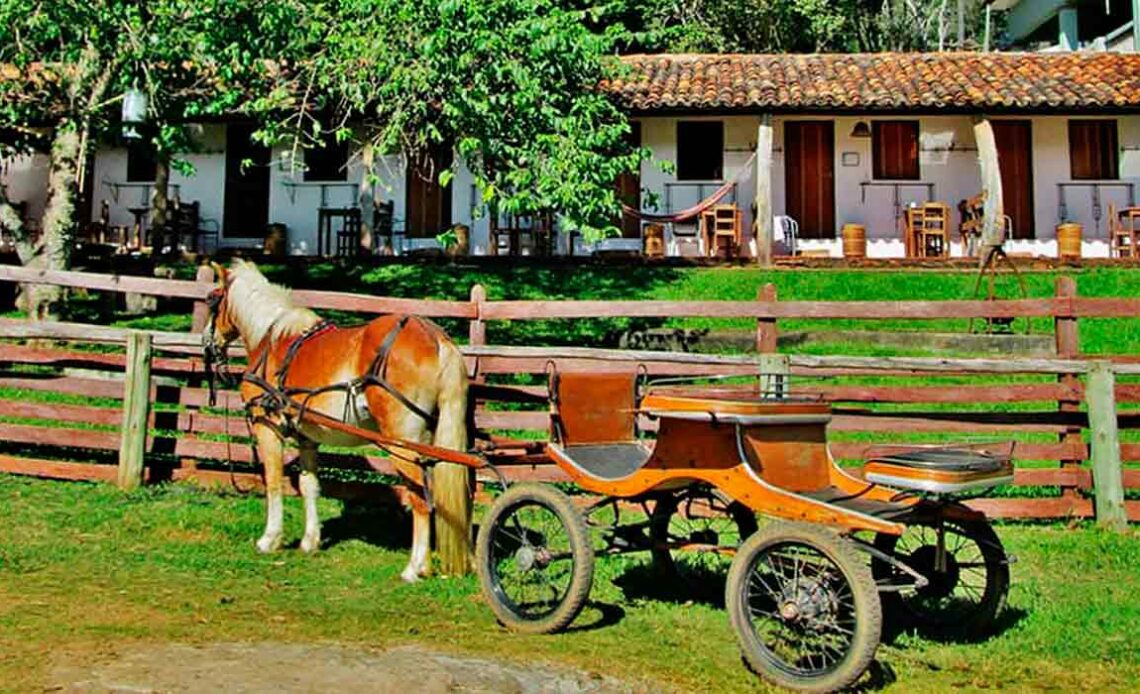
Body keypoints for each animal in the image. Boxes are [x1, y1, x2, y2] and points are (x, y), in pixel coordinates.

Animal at [202, 258, 469, 578]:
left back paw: (413, 568)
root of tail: (433, 336)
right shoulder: (307, 437)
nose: (207, 341)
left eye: (211, 298)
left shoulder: (269, 427)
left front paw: (270, 538)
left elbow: (274, 481)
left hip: (401, 443)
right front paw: (310, 540)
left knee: (419, 499)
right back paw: (425, 565)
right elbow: (309, 485)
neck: (272, 339)